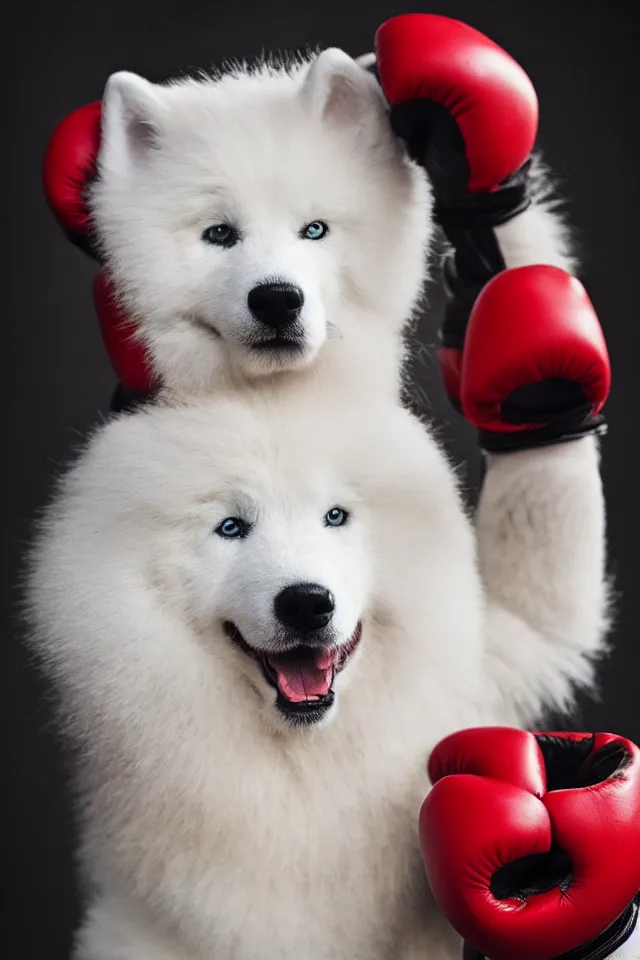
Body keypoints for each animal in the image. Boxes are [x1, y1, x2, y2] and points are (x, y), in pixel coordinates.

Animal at [27, 384, 608, 960]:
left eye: (335, 516)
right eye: (231, 527)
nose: (305, 603)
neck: (304, 754)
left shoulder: (498, 663)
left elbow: (544, 619)